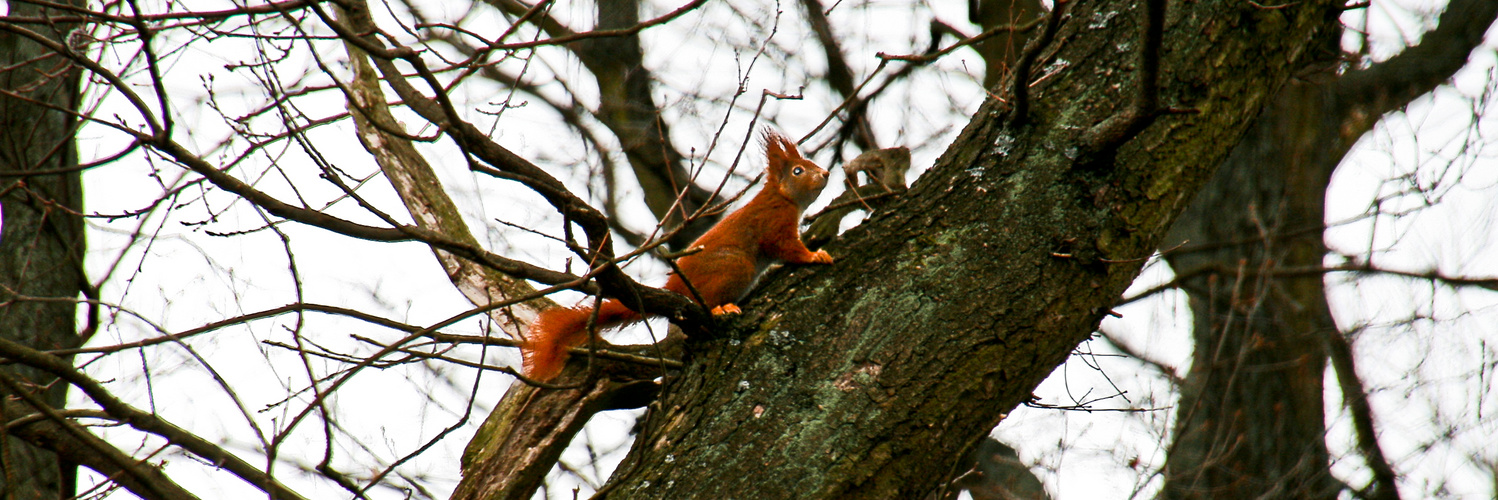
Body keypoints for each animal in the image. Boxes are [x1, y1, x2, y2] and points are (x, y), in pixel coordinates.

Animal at [521, 130, 838, 380]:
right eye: (798, 171)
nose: (826, 174)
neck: (783, 198)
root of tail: (675, 287)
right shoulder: (774, 224)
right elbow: (787, 248)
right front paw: (814, 256)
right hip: (736, 266)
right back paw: (720, 309)